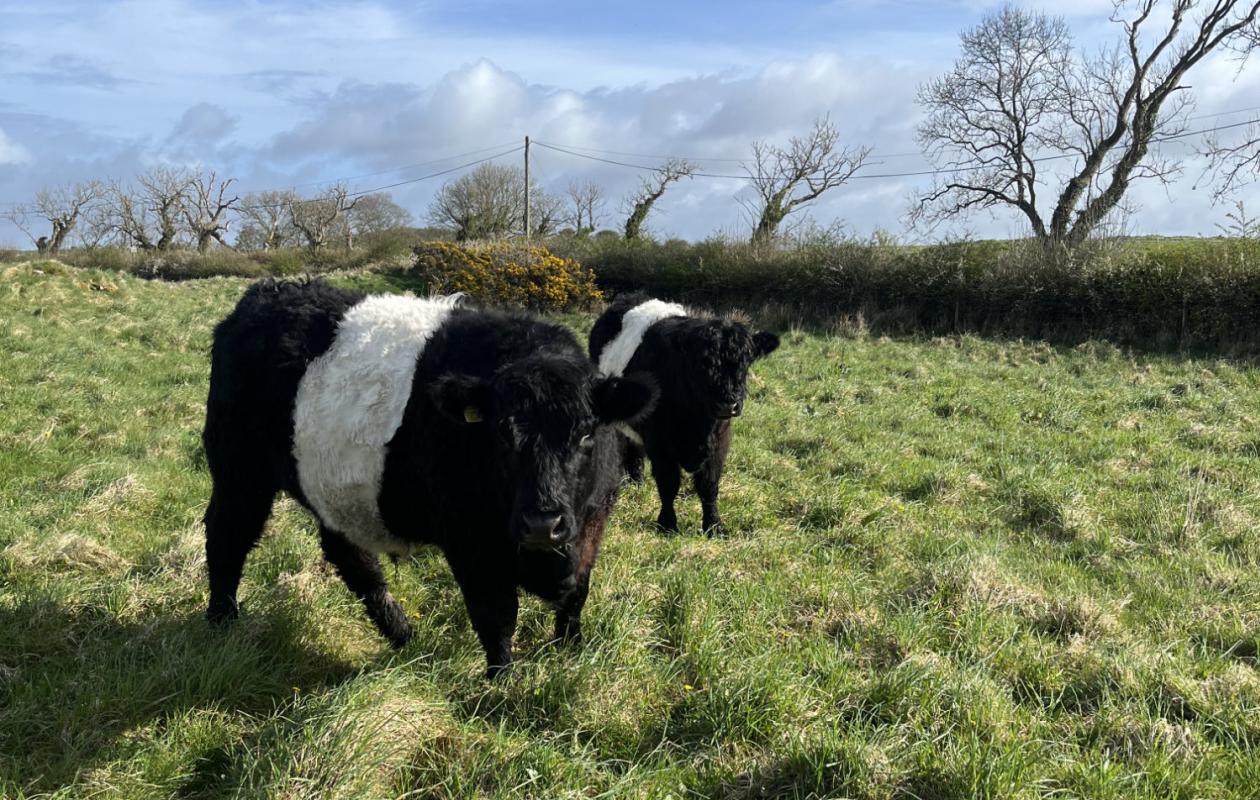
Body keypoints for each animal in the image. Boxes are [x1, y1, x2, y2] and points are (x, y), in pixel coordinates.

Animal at [201, 279, 656, 677]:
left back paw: (403, 636)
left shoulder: (592, 525)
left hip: (331, 490)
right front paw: (501, 684)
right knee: (227, 535)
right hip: (238, 470)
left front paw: (570, 655)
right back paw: (222, 623)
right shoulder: (467, 542)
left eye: (586, 434)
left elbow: (575, 597)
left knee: (350, 556)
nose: (543, 523)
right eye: (501, 434)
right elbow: (496, 616)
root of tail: (265, 293)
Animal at [589, 294, 779, 536]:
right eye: (701, 364)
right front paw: (667, 525)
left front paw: (714, 526)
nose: (728, 405)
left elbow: (709, 486)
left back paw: (637, 481)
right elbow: (669, 484)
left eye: (746, 362)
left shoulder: (720, 441)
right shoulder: (659, 441)